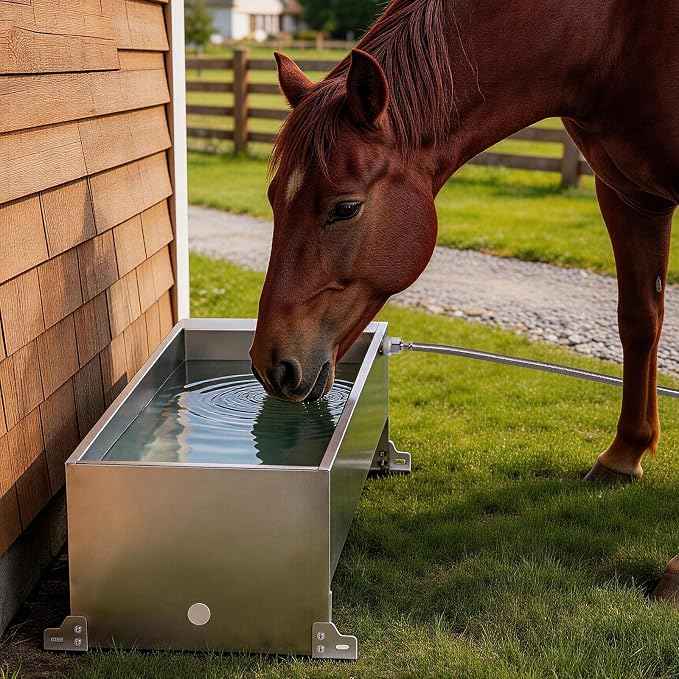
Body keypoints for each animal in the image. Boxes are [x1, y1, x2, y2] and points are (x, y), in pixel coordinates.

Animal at [249, 0, 678, 595]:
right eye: (272, 198)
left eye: (345, 208)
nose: (271, 364)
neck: (612, 35)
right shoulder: (627, 193)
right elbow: (639, 320)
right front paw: (624, 456)